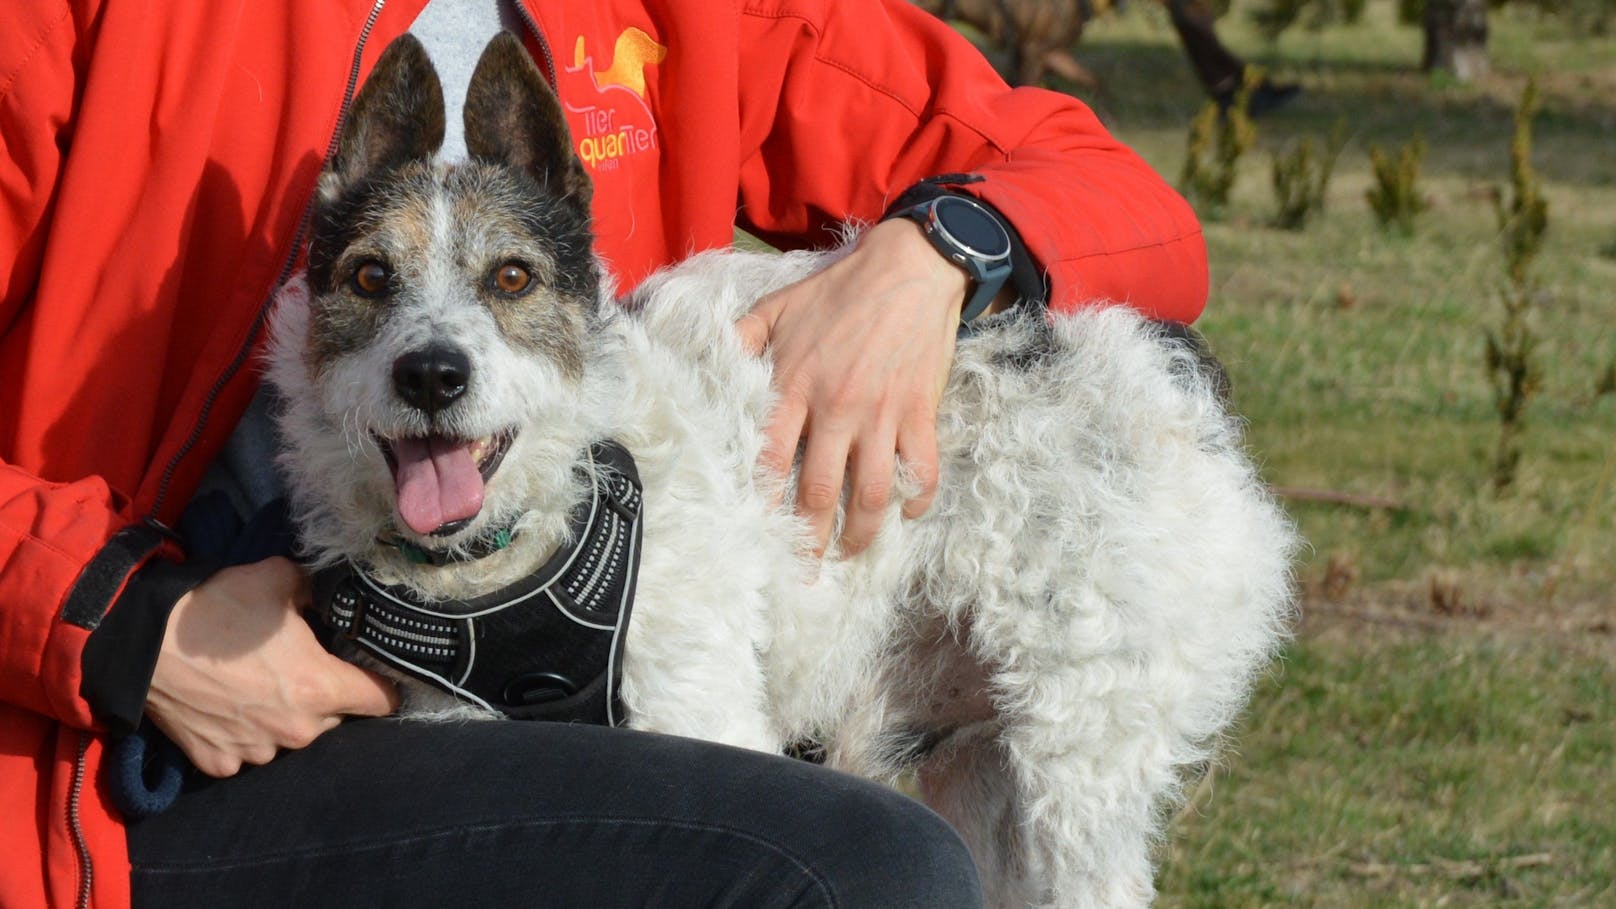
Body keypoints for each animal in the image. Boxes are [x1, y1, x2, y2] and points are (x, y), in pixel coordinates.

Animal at [265, 33, 1299, 905]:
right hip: (979, 763)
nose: (432, 375)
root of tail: (1170, 364)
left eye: (511, 278)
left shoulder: (701, 710)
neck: (522, 545)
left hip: (1079, 764)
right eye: (368, 277)